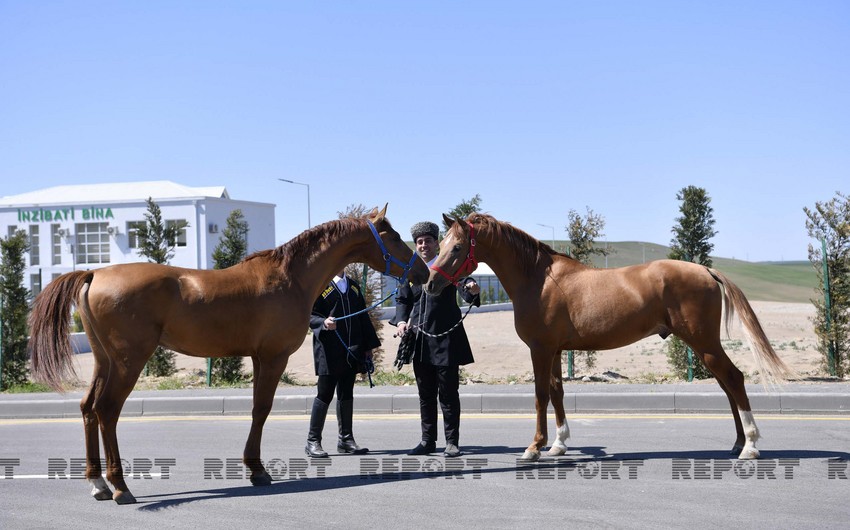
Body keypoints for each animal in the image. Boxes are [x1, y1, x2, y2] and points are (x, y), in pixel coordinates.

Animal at [29, 204, 428, 502]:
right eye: (392, 235)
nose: (423, 271)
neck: (291, 277)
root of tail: (93, 274)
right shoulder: (273, 357)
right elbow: (261, 409)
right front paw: (258, 470)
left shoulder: (258, 357)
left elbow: (257, 410)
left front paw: (255, 467)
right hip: (129, 362)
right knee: (107, 410)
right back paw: (120, 487)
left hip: (105, 360)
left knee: (88, 408)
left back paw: (97, 483)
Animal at [428, 212, 792, 460]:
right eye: (442, 244)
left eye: (457, 247)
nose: (431, 284)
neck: (539, 279)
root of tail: (705, 270)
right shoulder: (556, 351)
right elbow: (557, 393)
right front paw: (558, 444)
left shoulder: (540, 350)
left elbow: (540, 395)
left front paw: (534, 447)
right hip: (704, 346)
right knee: (727, 385)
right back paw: (738, 443)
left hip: (704, 343)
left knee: (734, 379)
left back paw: (750, 445)